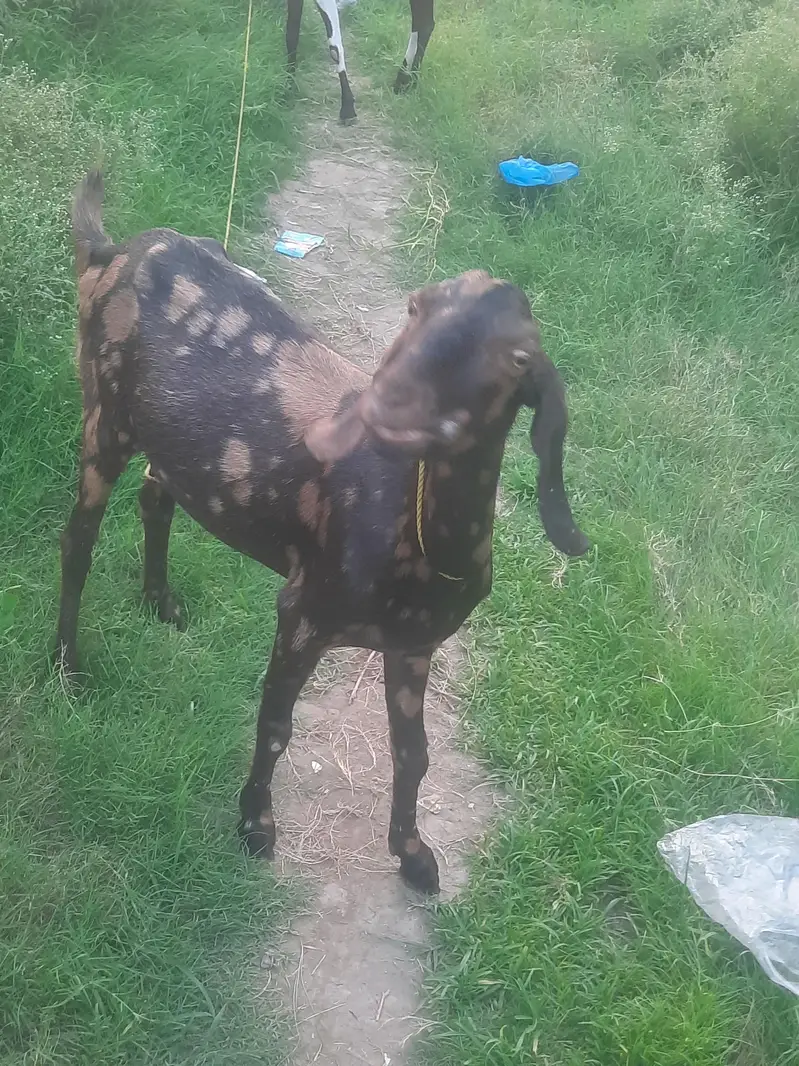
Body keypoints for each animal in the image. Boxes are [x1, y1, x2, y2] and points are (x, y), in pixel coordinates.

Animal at [56, 170, 589, 894]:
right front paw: (255, 827)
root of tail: (112, 252)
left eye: (516, 358)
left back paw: (160, 602)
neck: (416, 532)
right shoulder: (303, 611)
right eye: (415, 307)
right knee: (77, 542)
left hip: (173, 441)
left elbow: (414, 753)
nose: (384, 407)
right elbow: (277, 723)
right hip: (103, 413)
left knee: (156, 494)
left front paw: (413, 856)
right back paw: (66, 668)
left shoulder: (414, 642)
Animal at [286, 0, 435, 124]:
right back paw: (405, 82)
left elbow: (334, 46)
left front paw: (347, 109)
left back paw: (406, 80)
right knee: (423, 22)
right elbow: (292, 31)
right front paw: (289, 84)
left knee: (424, 22)